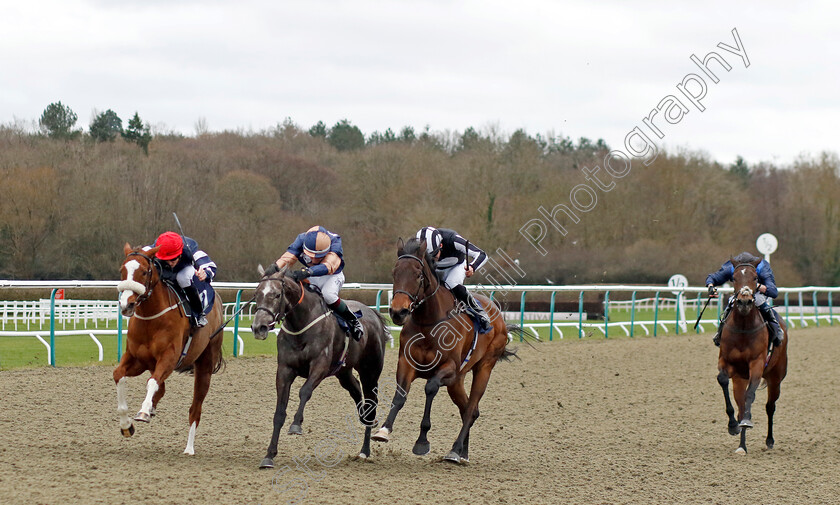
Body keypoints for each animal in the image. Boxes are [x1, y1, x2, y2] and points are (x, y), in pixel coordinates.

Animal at [116, 242, 226, 454]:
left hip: (205, 365)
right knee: (161, 386)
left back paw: (189, 448)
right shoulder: (137, 359)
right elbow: (119, 375)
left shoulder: (169, 357)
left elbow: (152, 382)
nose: (127, 305)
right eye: (122, 270)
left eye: (144, 271)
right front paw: (126, 425)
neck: (151, 319)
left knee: (195, 409)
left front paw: (143, 412)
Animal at [248, 266, 388, 466]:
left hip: (370, 371)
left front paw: (296, 424)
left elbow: (305, 391)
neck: (301, 324)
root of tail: (373, 313)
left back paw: (364, 450)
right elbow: (279, 412)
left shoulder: (320, 365)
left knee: (371, 402)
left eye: (276, 294)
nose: (259, 327)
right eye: (256, 294)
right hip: (343, 372)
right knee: (355, 389)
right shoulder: (284, 370)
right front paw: (269, 455)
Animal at [372, 238, 520, 462]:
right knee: (468, 409)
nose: (398, 312)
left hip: (484, 368)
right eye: (394, 273)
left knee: (471, 408)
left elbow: (430, 388)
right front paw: (383, 430)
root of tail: (498, 314)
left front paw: (422, 441)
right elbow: (400, 396)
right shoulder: (406, 363)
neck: (428, 322)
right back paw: (462, 453)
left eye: (418, 274)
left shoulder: (448, 367)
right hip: (457, 381)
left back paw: (455, 450)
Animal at [716, 256, 788, 452]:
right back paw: (742, 445)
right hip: (740, 379)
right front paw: (732, 425)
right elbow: (723, 380)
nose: (744, 302)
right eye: (733, 278)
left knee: (770, 407)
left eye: (756, 277)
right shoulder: (726, 361)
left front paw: (747, 422)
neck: (743, 327)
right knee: (741, 406)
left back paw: (769, 440)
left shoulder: (757, 364)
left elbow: (750, 396)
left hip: (776, 378)